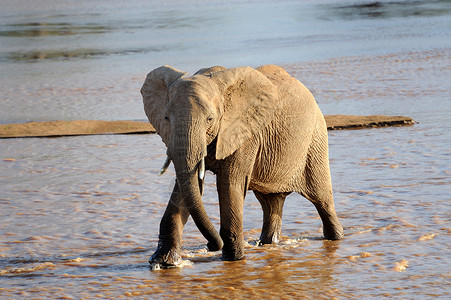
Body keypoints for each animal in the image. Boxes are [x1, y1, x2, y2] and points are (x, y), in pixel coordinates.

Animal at [143, 64, 344, 266]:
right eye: (166, 118)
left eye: (210, 119)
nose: (210, 245)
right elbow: (186, 186)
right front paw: (162, 262)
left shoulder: (245, 134)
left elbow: (229, 184)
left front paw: (233, 259)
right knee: (270, 202)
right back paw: (268, 243)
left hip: (315, 140)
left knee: (321, 198)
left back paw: (336, 237)